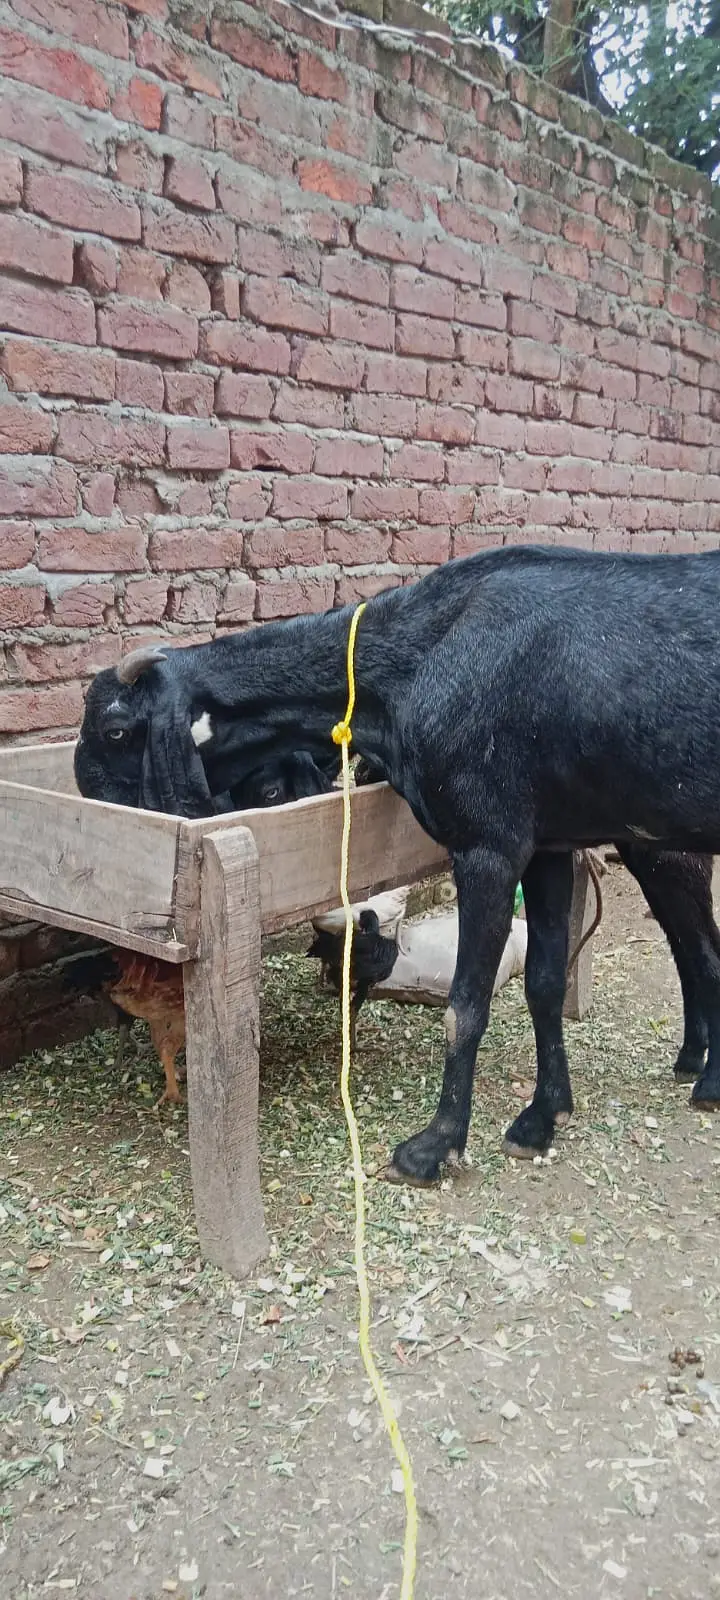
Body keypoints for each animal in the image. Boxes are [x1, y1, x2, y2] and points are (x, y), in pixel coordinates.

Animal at [76, 545, 720, 1183]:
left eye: (116, 729)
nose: (93, 806)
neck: (417, 660)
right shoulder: (547, 844)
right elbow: (543, 981)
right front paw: (542, 1117)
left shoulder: (488, 845)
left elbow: (466, 1006)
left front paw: (434, 1146)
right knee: (692, 948)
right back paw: (695, 1064)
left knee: (702, 951)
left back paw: (706, 1080)